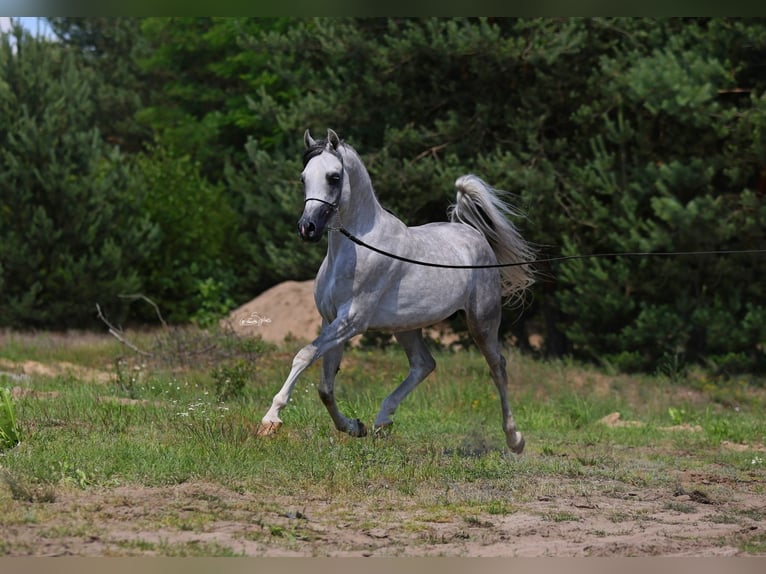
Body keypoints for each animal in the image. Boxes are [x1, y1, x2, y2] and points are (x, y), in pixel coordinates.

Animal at [257, 128, 535, 454]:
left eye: (334, 177)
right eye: (303, 178)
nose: (307, 228)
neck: (356, 248)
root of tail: (472, 233)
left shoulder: (352, 321)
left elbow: (303, 356)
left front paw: (270, 420)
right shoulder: (331, 321)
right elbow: (325, 387)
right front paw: (354, 427)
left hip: (482, 321)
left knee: (497, 368)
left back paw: (514, 439)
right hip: (406, 327)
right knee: (424, 364)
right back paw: (382, 420)